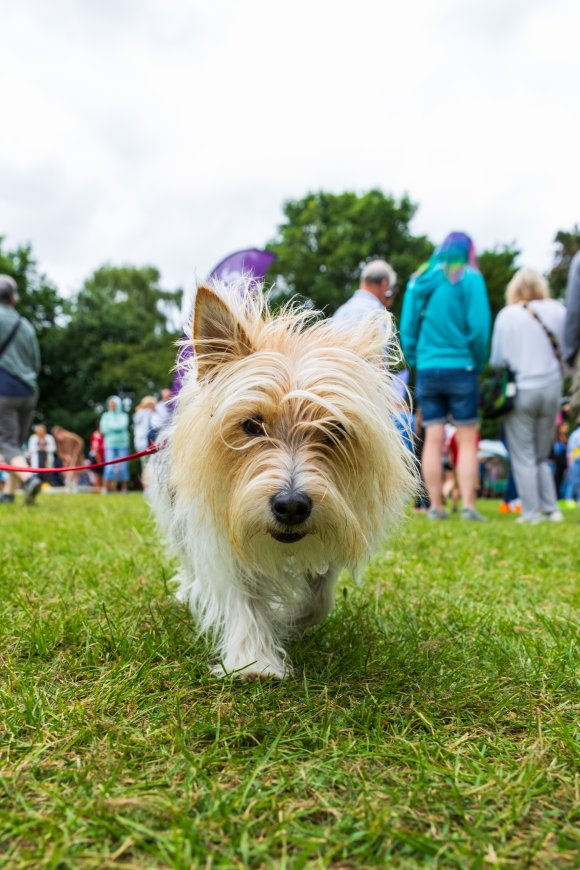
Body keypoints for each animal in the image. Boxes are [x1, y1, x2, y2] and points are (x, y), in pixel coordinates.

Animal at [150, 284, 416, 680]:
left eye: (334, 430)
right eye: (251, 425)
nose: (291, 506)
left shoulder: (332, 530)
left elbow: (318, 599)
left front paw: (287, 620)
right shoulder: (221, 533)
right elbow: (243, 597)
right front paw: (254, 661)